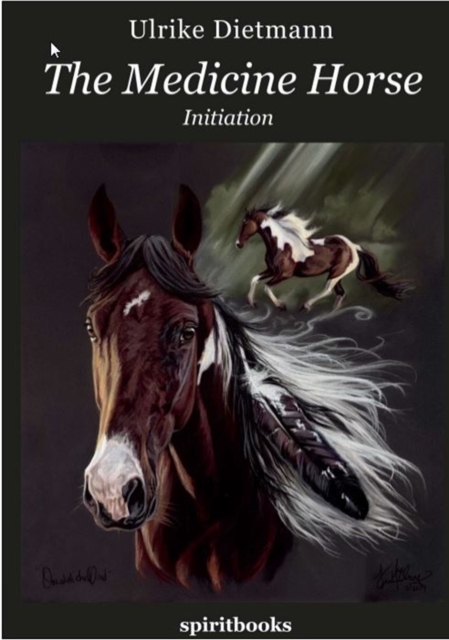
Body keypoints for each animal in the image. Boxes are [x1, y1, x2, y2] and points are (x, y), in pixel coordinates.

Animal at [236, 206, 413, 311]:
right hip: (338, 276)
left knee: (329, 290)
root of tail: (354, 246)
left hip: (336, 274)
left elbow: (266, 286)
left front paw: (281, 306)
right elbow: (254, 279)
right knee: (340, 293)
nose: (238, 244)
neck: (281, 245)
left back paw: (306, 305)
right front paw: (251, 302)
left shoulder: (284, 275)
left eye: (245, 223)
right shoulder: (271, 270)